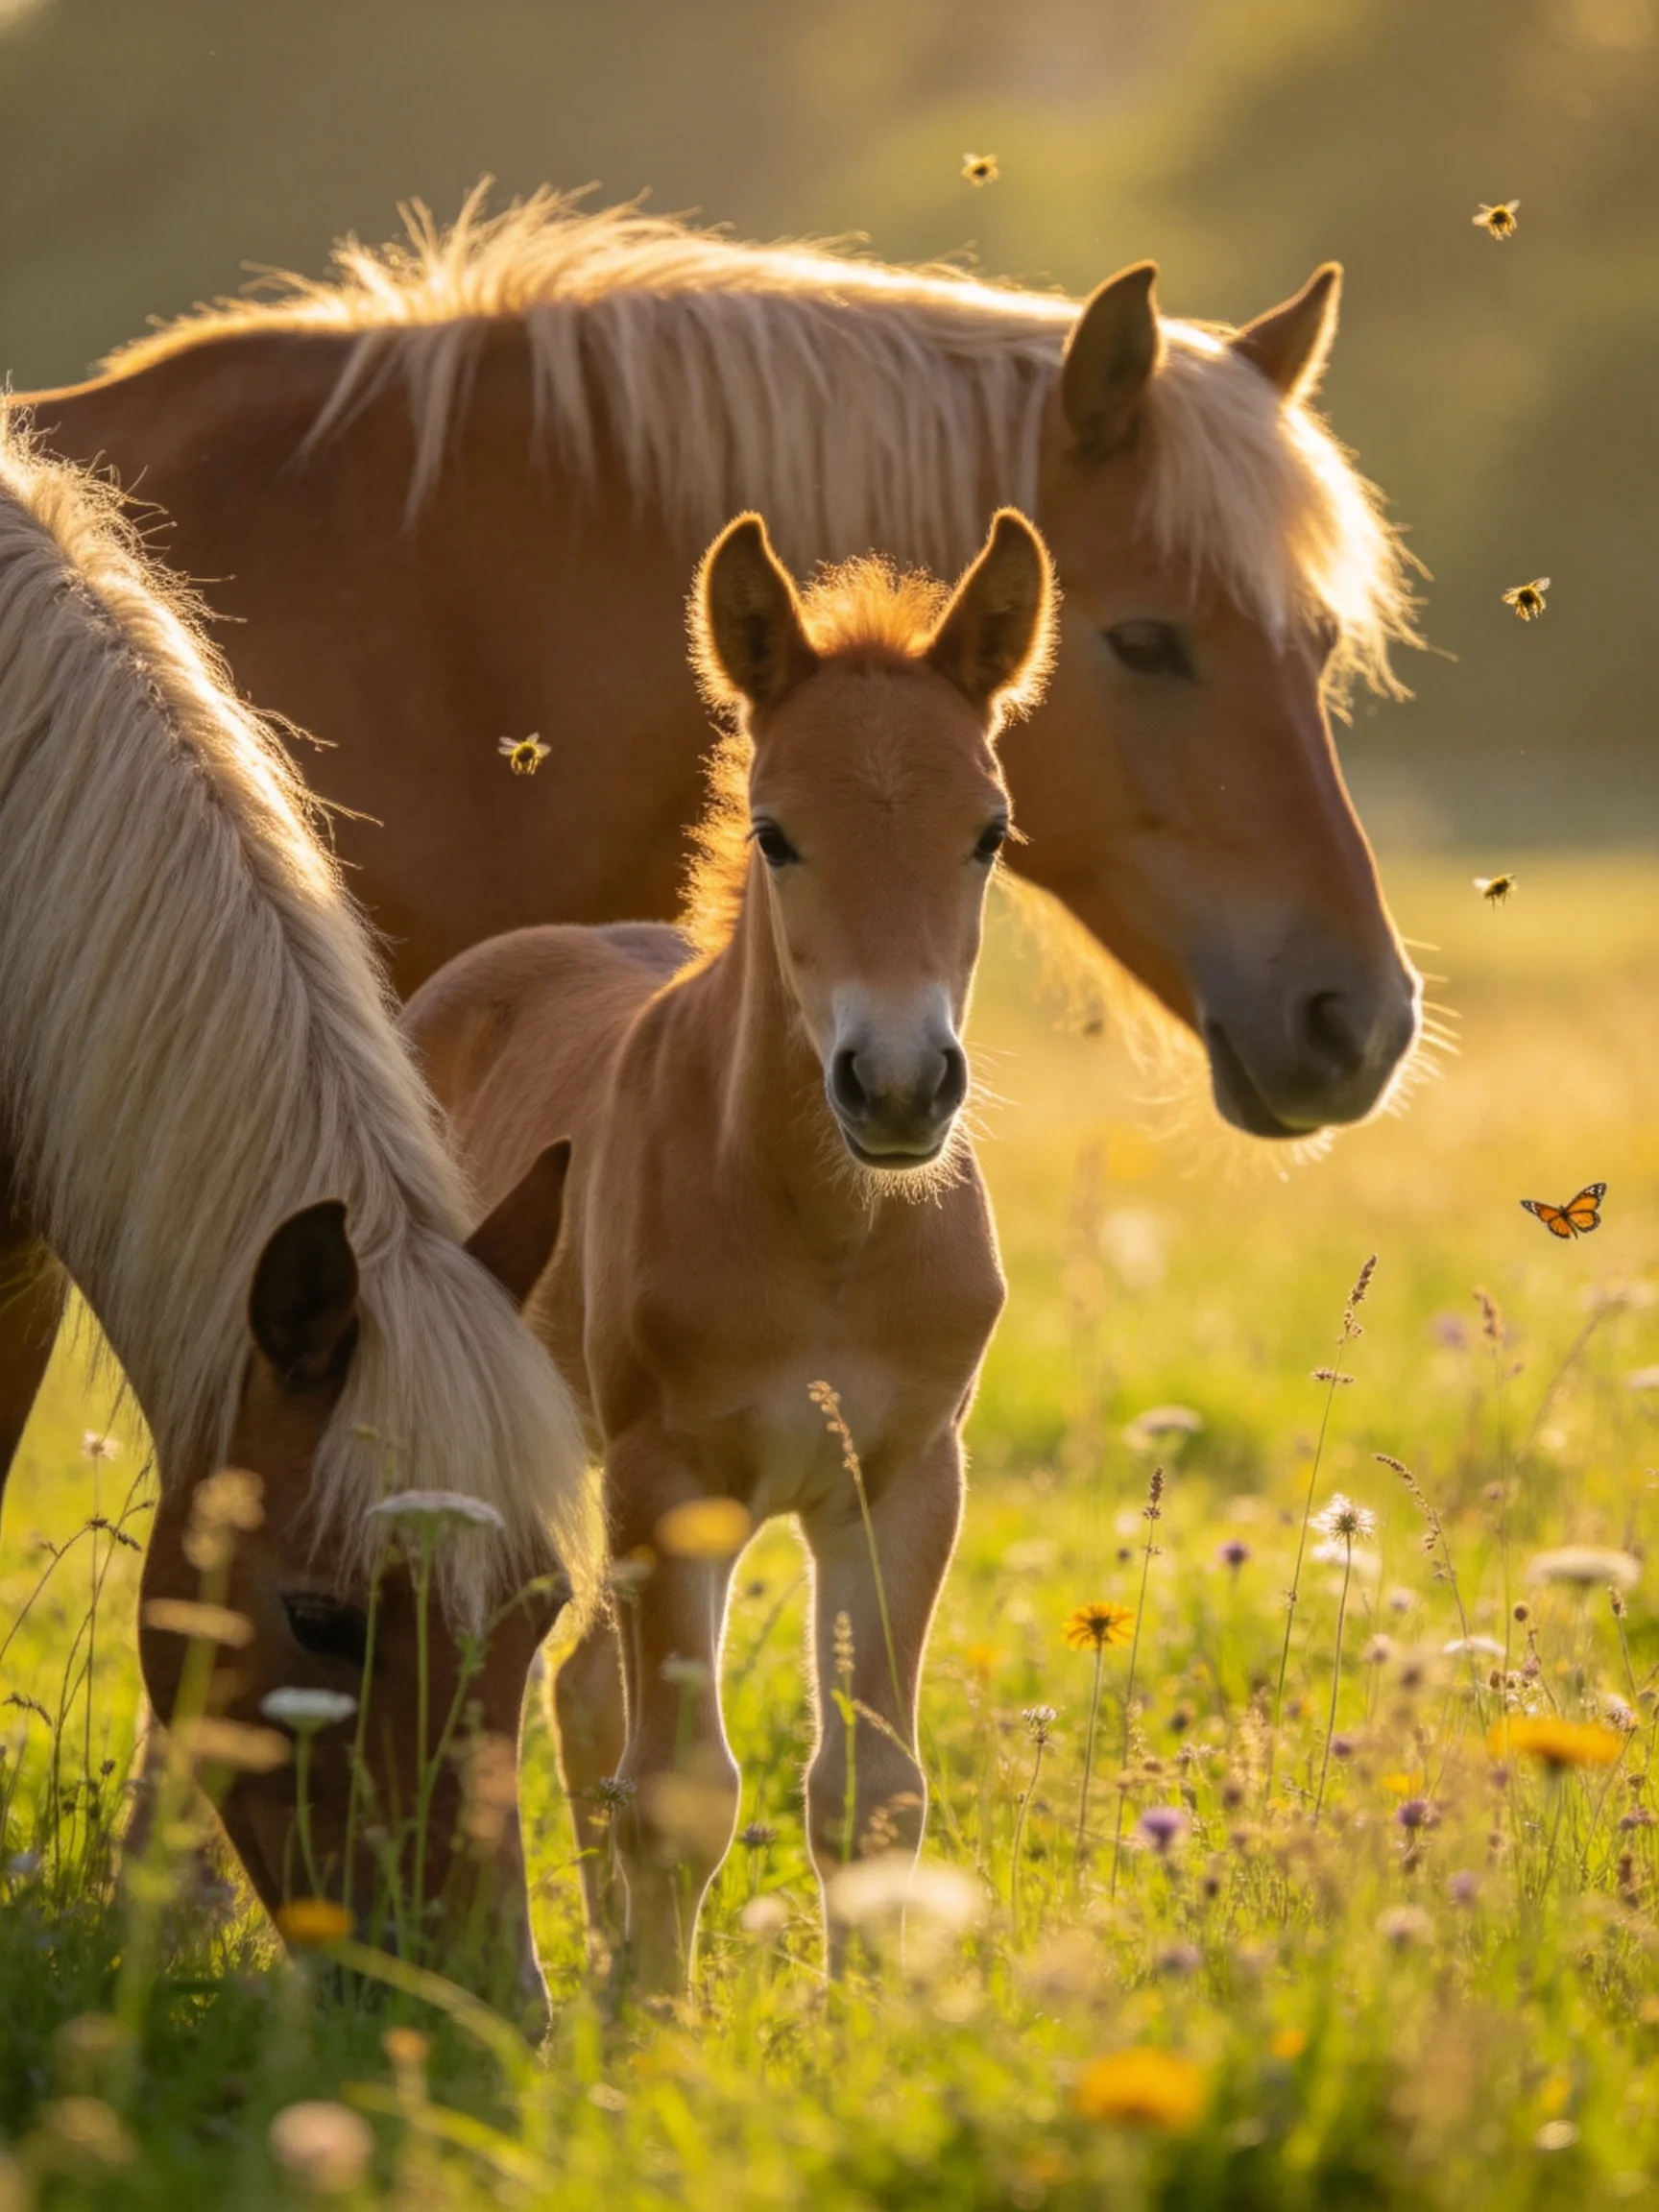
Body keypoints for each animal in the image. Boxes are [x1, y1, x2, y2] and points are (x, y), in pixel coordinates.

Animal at [402, 505, 1057, 1989]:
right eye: (775, 833)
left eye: (990, 834)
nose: (897, 1087)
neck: (826, 1237)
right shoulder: (672, 1474)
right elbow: (683, 1787)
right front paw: (660, 2017)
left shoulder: (901, 1477)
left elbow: (872, 1792)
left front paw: (858, 2016)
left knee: (580, 1686)